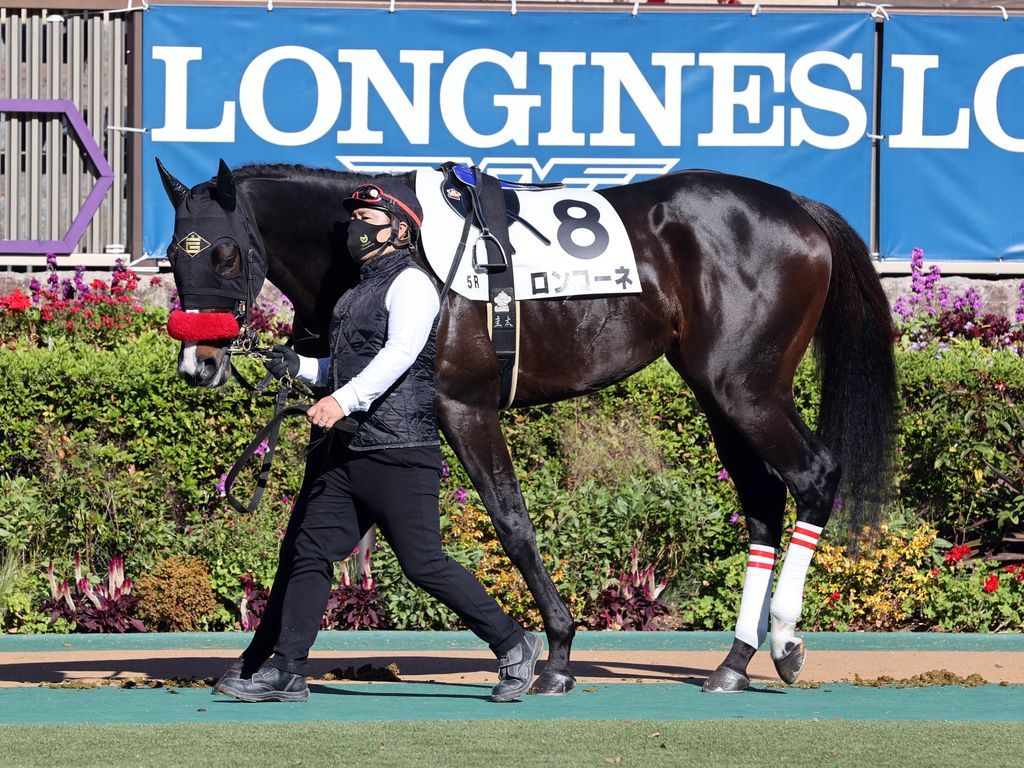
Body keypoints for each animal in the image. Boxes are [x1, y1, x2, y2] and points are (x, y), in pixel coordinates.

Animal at [157, 158, 896, 694]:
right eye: (172, 252)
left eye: (224, 254)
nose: (199, 363)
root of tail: (800, 209)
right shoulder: (339, 415)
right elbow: (297, 541)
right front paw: (252, 663)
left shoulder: (464, 405)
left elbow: (512, 523)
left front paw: (555, 653)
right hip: (719, 392)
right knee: (765, 502)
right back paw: (735, 661)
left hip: (747, 387)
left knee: (815, 475)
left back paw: (786, 641)